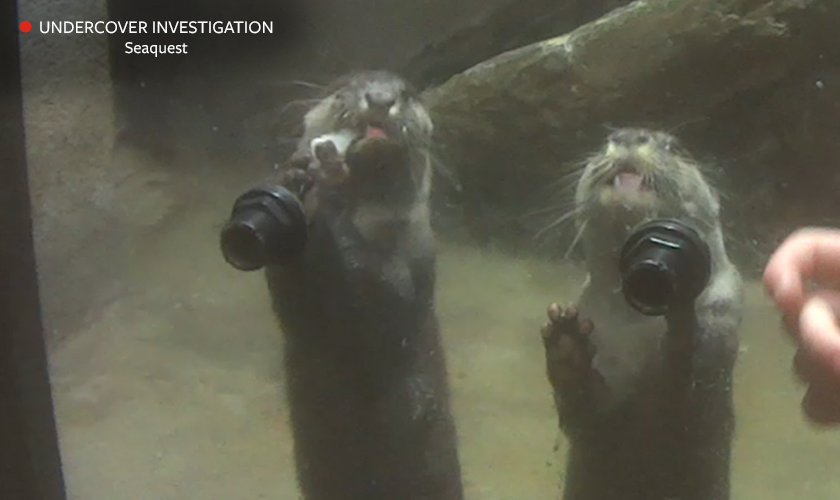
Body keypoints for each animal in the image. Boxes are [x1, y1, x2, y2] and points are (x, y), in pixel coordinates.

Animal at [266, 70, 466, 500]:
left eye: (407, 94)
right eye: (347, 86)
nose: (379, 98)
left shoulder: (416, 265)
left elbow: (387, 305)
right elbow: (293, 303)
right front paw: (298, 177)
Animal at [540, 128, 740, 500]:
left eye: (673, 146)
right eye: (605, 140)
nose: (629, 135)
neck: (634, 329)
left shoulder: (722, 326)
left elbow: (688, 406)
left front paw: (682, 324)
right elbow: (583, 415)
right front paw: (567, 346)